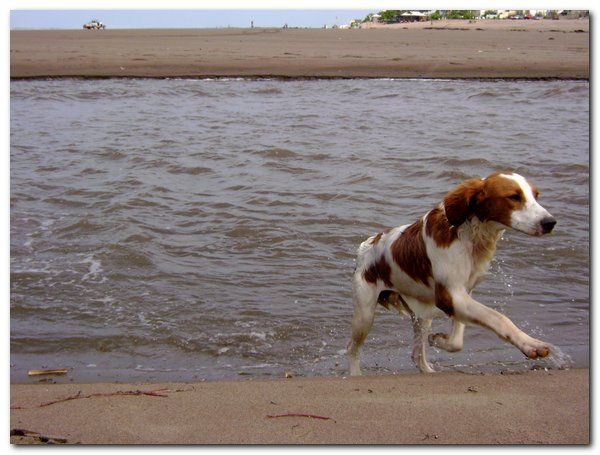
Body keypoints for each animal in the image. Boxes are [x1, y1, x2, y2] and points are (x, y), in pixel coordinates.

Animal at [346, 171, 556, 374]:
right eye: (514, 196)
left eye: (536, 196)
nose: (550, 222)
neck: (468, 234)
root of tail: (366, 245)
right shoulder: (449, 295)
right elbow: (498, 318)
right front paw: (531, 345)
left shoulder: (462, 293)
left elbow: (457, 340)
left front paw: (439, 340)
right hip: (365, 315)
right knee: (352, 349)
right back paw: (356, 374)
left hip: (422, 314)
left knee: (416, 354)